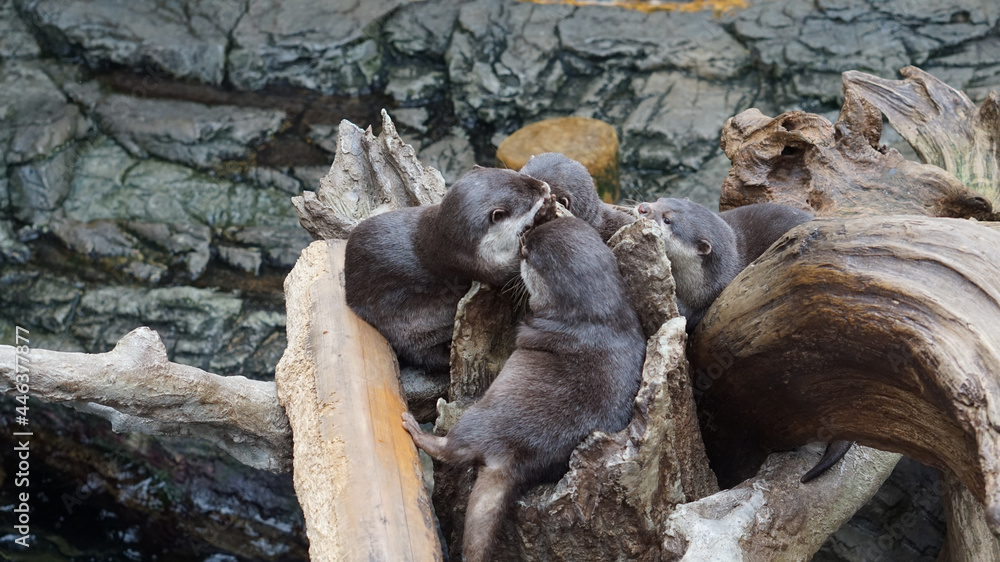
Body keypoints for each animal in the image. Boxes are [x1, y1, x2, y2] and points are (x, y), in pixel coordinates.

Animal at [345, 167, 552, 372]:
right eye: (529, 202)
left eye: (521, 175)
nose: (545, 187)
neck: (438, 244)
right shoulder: (476, 265)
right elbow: (511, 271)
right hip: (404, 329)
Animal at [402, 217, 646, 562]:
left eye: (527, 250)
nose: (524, 237)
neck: (594, 316)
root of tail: (515, 459)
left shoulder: (533, 326)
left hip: (479, 419)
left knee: (453, 449)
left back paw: (415, 430)